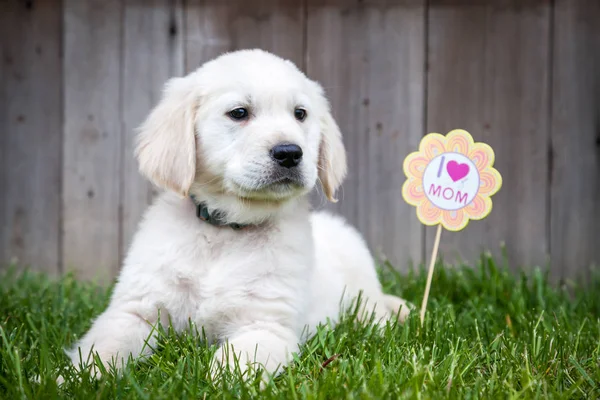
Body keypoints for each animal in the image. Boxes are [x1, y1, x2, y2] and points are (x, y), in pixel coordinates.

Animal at [67, 49, 412, 382]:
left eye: (300, 114)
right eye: (239, 113)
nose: (290, 153)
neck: (226, 231)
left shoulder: (265, 325)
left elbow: (231, 368)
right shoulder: (135, 311)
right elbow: (101, 348)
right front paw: (75, 378)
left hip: (361, 288)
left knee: (374, 312)